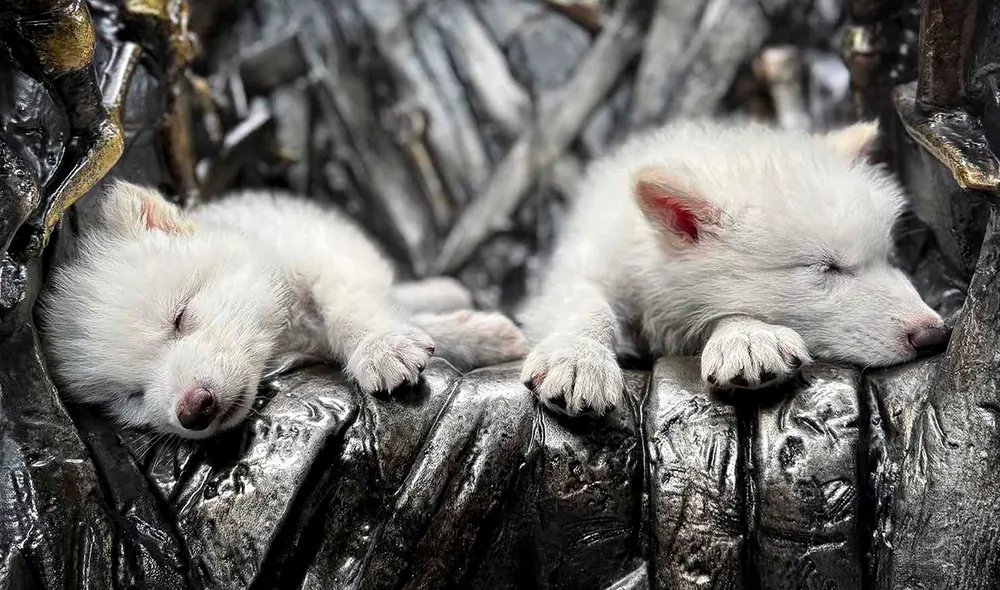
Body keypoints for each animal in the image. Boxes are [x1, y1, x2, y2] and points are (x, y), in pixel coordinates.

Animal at [39, 181, 526, 439]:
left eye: (180, 317)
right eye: (132, 396)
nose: (193, 410)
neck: (284, 332)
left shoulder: (328, 256)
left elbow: (351, 308)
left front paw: (380, 346)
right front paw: (478, 336)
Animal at [519, 119, 950, 416]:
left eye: (888, 259)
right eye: (826, 268)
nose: (936, 335)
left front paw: (747, 336)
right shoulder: (583, 266)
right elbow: (587, 304)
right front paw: (577, 357)